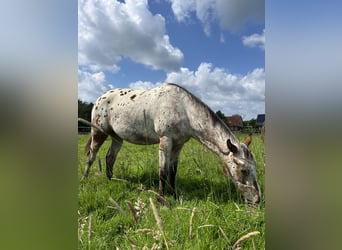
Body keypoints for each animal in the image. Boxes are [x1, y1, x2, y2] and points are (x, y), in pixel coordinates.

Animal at [81, 83, 262, 204]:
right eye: (243, 170)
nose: (257, 199)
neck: (184, 109)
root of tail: (100, 98)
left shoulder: (178, 145)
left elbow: (173, 171)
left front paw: (173, 195)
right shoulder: (165, 140)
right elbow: (162, 171)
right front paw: (161, 199)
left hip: (117, 137)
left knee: (109, 157)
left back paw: (111, 180)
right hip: (98, 133)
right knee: (91, 156)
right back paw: (84, 179)